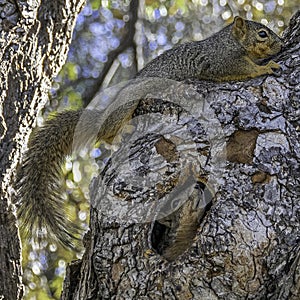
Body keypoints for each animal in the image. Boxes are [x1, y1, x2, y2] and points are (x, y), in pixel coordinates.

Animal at [14, 17, 282, 250]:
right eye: (262, 34)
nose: (280, 44)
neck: (229, 40)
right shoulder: (220, 59)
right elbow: (240, 68)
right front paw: (265, 67)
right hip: (127, 105)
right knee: (107, 133)